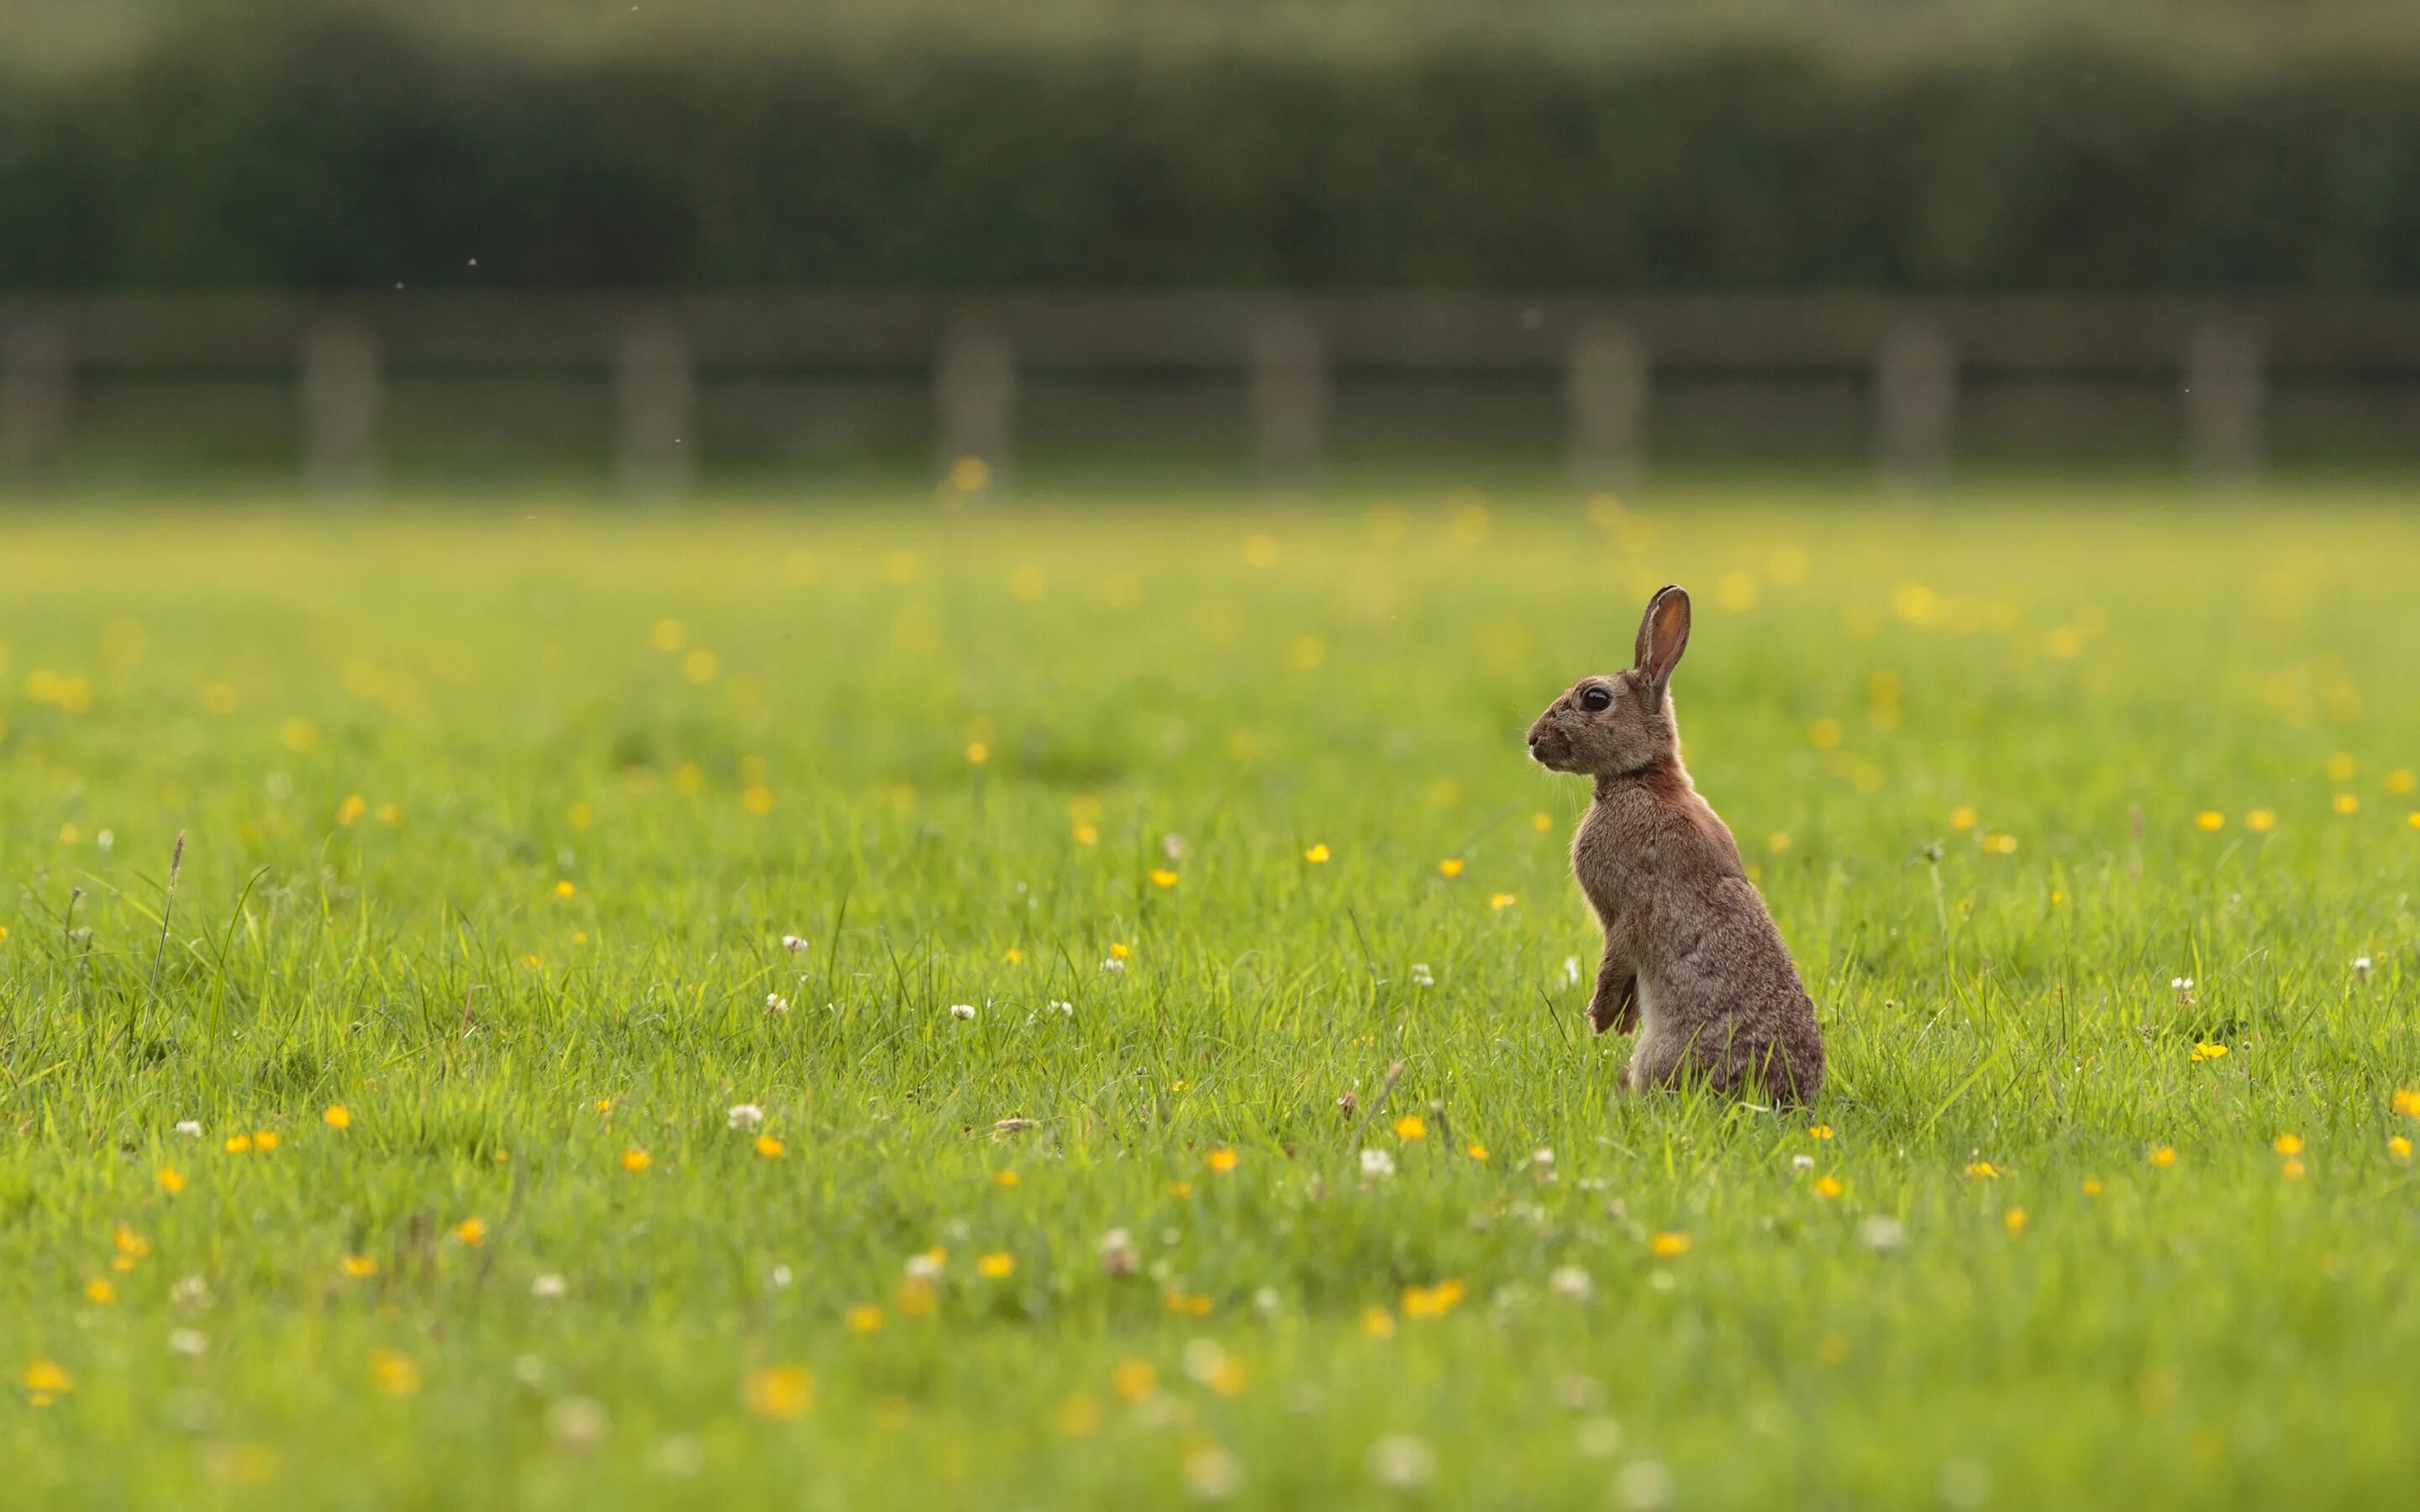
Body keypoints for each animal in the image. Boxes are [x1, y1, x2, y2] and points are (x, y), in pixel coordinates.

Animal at [1519, 587, 1819, 1098]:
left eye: (1595, 698)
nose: (1534, 740)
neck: (1643, 776)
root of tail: (1790, 1100)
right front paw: (1618, 1021)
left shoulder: (1630, 907)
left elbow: (1616, 957)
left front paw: (1600, 1019)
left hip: (1663, 1052)